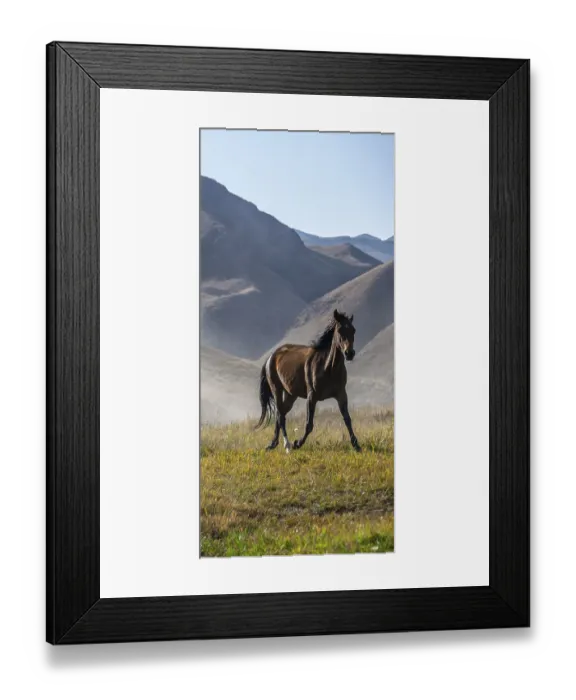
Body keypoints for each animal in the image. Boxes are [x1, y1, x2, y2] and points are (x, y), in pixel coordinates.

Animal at [255, 309, 361, 453]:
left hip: (290, 394)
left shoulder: (341, 395)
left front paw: (356, 445)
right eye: (339, 330)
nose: (349, 353)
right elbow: (309, 424)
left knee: (280, 414)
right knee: (280, 415)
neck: (328, 368)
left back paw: (273, 444)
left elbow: (347, 419)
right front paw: (297, 443)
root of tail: (271, 356)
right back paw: (287, 445)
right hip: (276, 389)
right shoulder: (312, 397)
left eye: (353, 330)